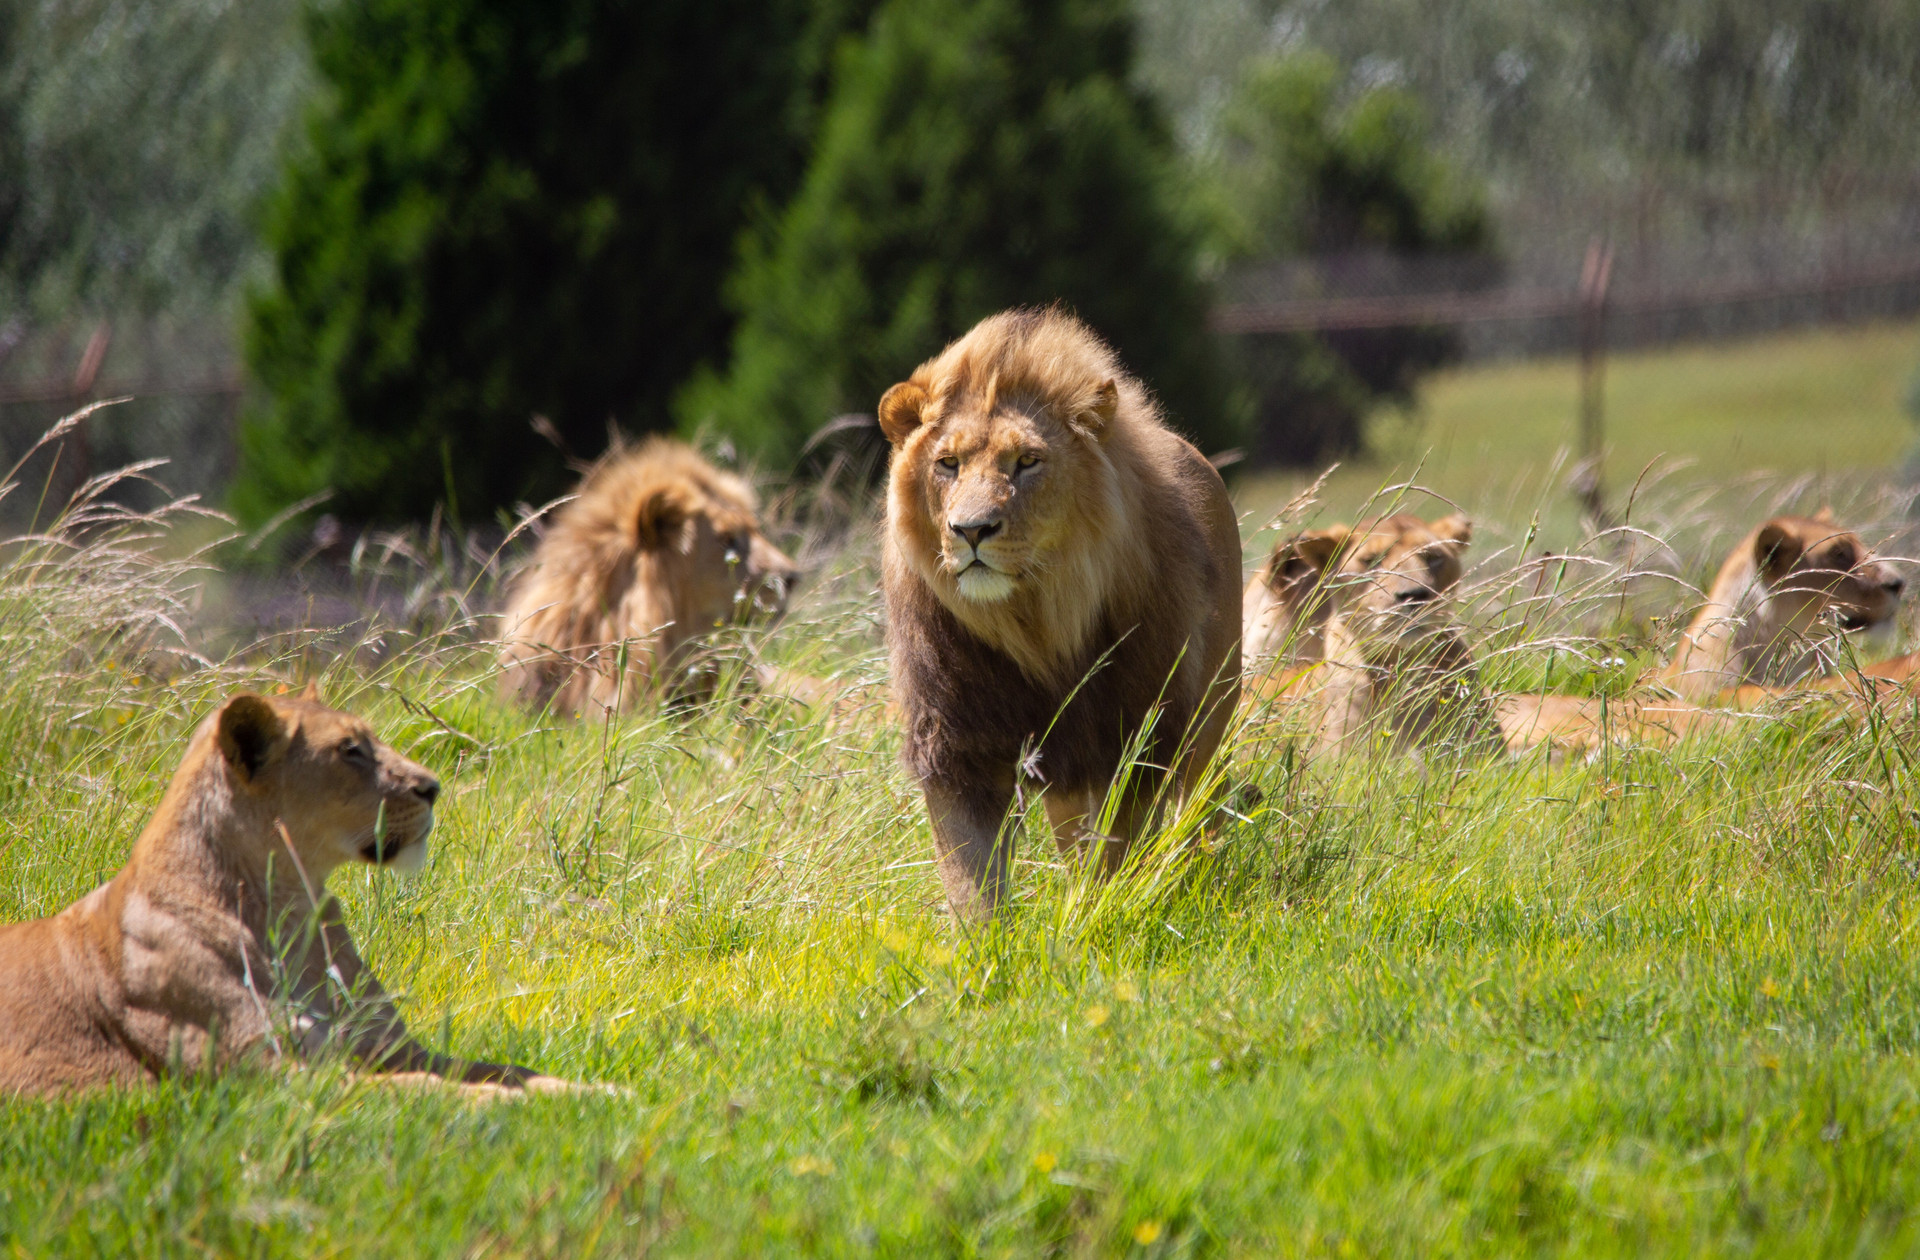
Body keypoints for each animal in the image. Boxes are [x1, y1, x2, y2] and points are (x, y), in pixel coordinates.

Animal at [0, 687, 577, 1097]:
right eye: (350, 751)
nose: (433, 787)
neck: (291, 906)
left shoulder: (392, 1046)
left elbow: (501, 1068)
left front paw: (588, 1094)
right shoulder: (275, 1074)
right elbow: (425, 1091)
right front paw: (519, 1106)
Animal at [878, 308, 1242, 921]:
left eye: (1027, 462)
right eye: (947, 464)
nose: (970, 530)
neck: (1035, 623)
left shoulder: (1133, 735)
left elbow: (1118, 852)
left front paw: (1098, 914)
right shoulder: (955, 746)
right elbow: (971, 879)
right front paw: (992, 941)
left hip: (1210, 708)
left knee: (1191, 805)